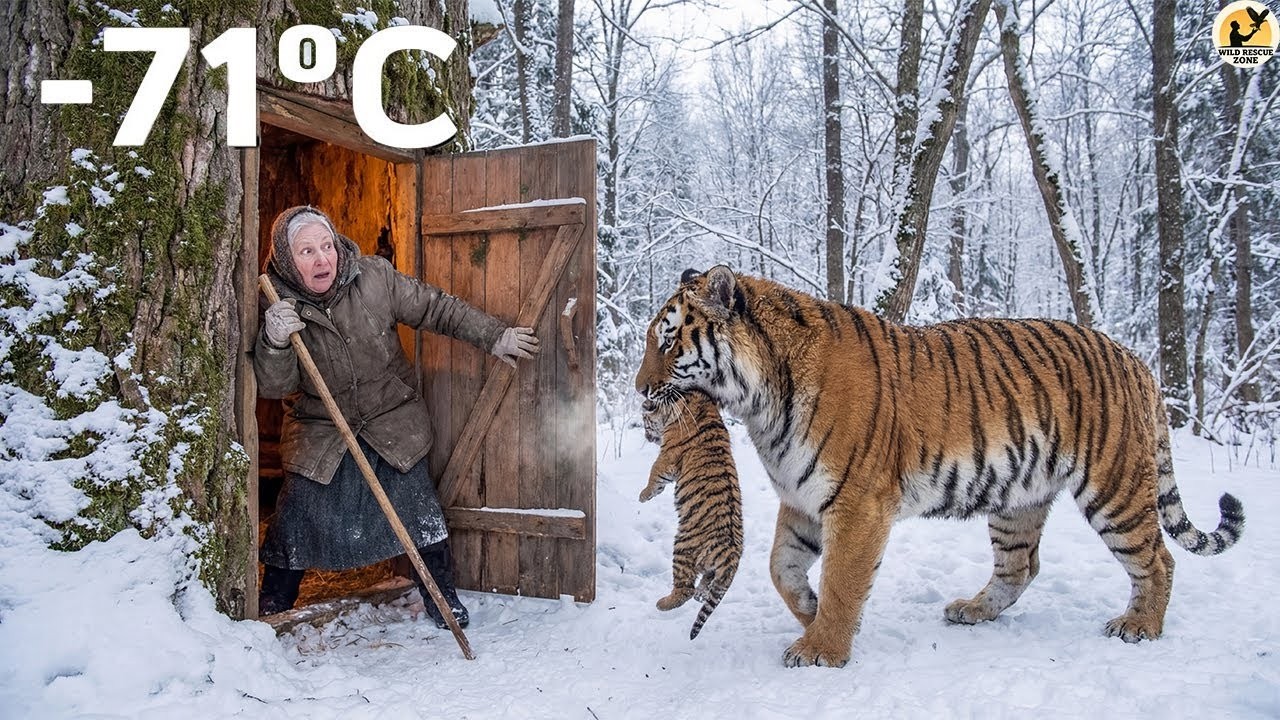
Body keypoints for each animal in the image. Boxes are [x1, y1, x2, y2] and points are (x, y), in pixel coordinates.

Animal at [639, 391, 744, 640]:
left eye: (645, 422)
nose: (646, 437)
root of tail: (732, 555)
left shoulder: (666, 458)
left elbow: (654, 473)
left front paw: (643, 495)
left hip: (683, 546)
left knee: (685, 589)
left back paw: (663, 603)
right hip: (713, 569)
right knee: (706, 584)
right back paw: (701, 594)